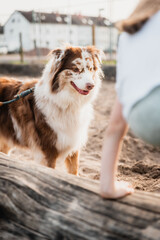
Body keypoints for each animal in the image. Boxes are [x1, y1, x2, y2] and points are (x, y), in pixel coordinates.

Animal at [0, 46, 102, 175]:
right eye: (75, 69)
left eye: (90, 69)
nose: (91, 86)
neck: (67, 103)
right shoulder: (48, 151)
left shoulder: (73, 147)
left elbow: (74, 172)